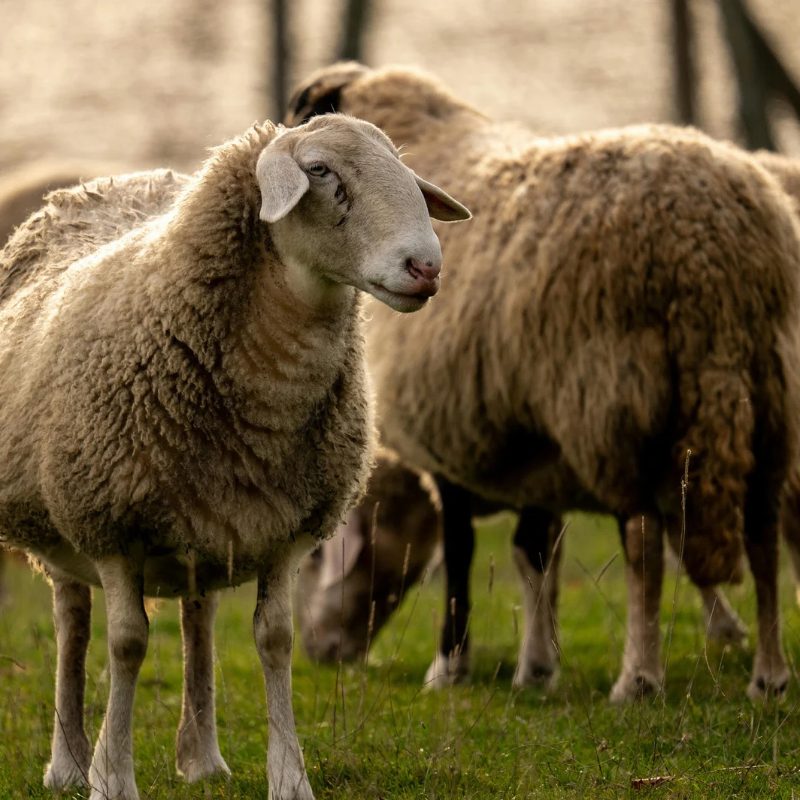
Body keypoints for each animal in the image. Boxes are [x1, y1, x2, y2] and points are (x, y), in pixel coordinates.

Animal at [0, 114, 469, 800]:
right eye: (320, 170)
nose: (425, 266)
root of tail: (107, 183)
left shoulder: (288, 532)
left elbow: (275, 640)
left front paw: (290, 778)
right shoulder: (112, 528)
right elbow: (127, 644)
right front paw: (110, 777)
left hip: (207, 525)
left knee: (198, 618)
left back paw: (203, 759)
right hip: (63, 522)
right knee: (73, 624)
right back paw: (66, 765)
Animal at [285, 63, 800, 702]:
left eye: (317, 560)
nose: (321, 655)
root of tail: (715, 255)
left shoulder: (450, 438)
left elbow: (463, 553)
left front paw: (449, 666)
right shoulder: (530, 440)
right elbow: (536, 553)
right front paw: (537, 666)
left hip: (614, 404)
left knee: (644, 541)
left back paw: (639, 677)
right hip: (767, 399)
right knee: (762, 533)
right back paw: (770, 674)